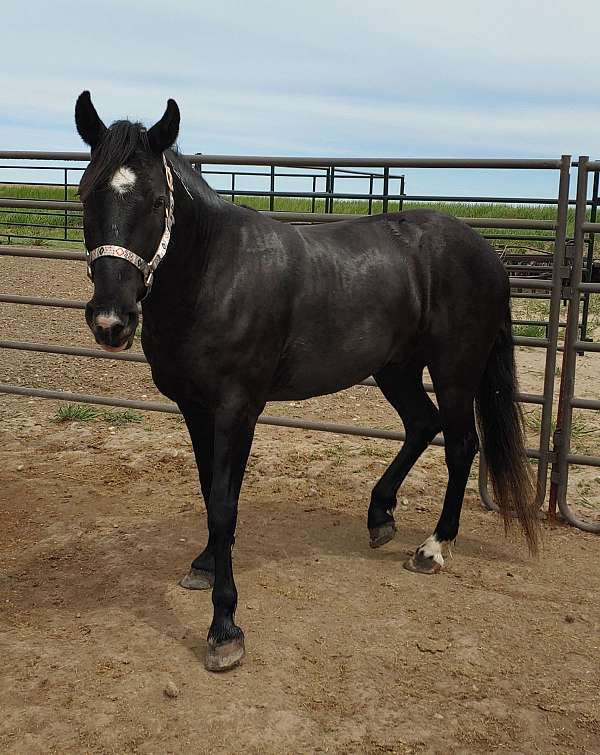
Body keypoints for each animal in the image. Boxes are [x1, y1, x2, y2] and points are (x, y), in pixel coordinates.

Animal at [74, 91, 539, 672]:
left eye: (158, 201)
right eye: (86, 196)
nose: (111, 321)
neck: (214, 275)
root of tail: (486, 250)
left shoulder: (237, 409)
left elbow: (224, 503)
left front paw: (224, 628)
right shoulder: (194, 408)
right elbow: (209, 493)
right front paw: (205, 564)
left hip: (455, 370)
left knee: (460, 443)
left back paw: (433, 548)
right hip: (395, 367)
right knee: (420, 425)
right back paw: (380, 515)